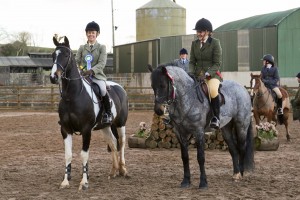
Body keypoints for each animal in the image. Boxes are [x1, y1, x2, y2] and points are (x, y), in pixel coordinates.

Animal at [49, 36, 129, 191]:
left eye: (66, 55)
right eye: (53, 55)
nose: (53, 77)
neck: (73, 96)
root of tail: (120, 87)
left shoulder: (86, 130)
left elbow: (84, 155)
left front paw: (84, 182)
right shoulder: (65, 129)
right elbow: (68, 155)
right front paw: (65, 181)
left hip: (120, 123)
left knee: (121, 143)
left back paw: (123, 170)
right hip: (105, 127)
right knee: (112, 143)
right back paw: (113, 171)